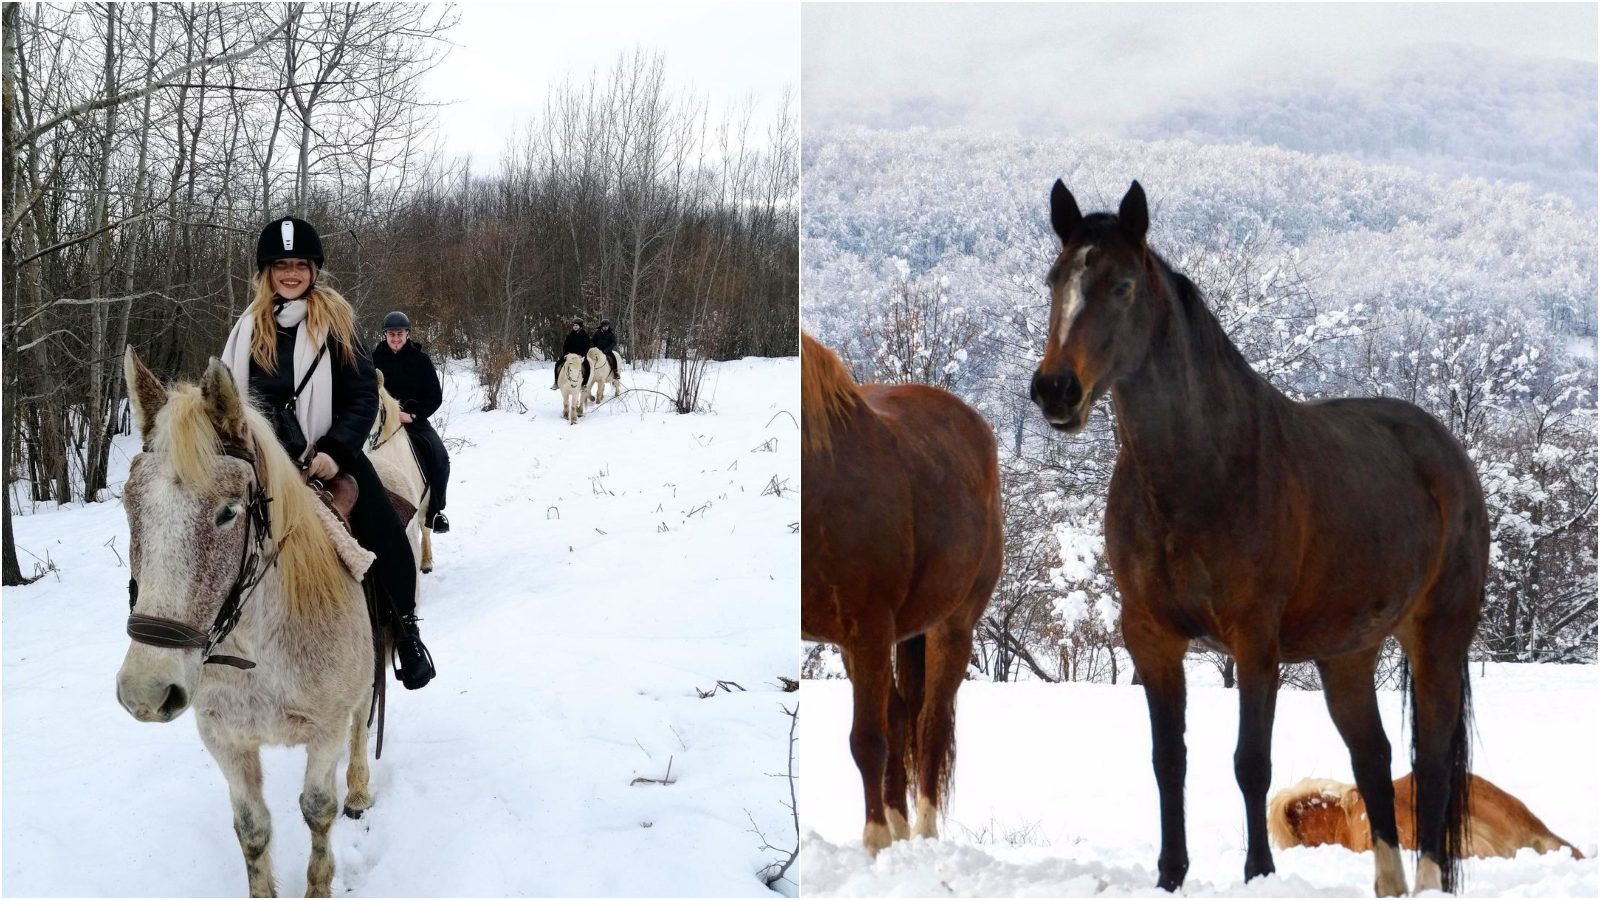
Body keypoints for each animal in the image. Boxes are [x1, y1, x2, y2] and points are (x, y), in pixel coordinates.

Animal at [116, 347, 374, 890]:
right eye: (129, 505)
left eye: (229, 512)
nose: (146, 691)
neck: (259, 652)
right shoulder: (224, 740)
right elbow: (252, 830)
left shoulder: (325, 730)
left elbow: (318, 810)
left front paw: (318, 884)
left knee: (364, 718)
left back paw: (360, 789)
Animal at [800, 333, 998, 851]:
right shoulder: (858, 636)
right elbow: (881, 731)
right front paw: (884, 834)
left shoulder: (868, 626)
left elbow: (868, 740)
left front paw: (875, 843)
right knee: (900, 716)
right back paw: (900, 823)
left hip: (951, 626)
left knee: (930, 724)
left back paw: (923, 832)